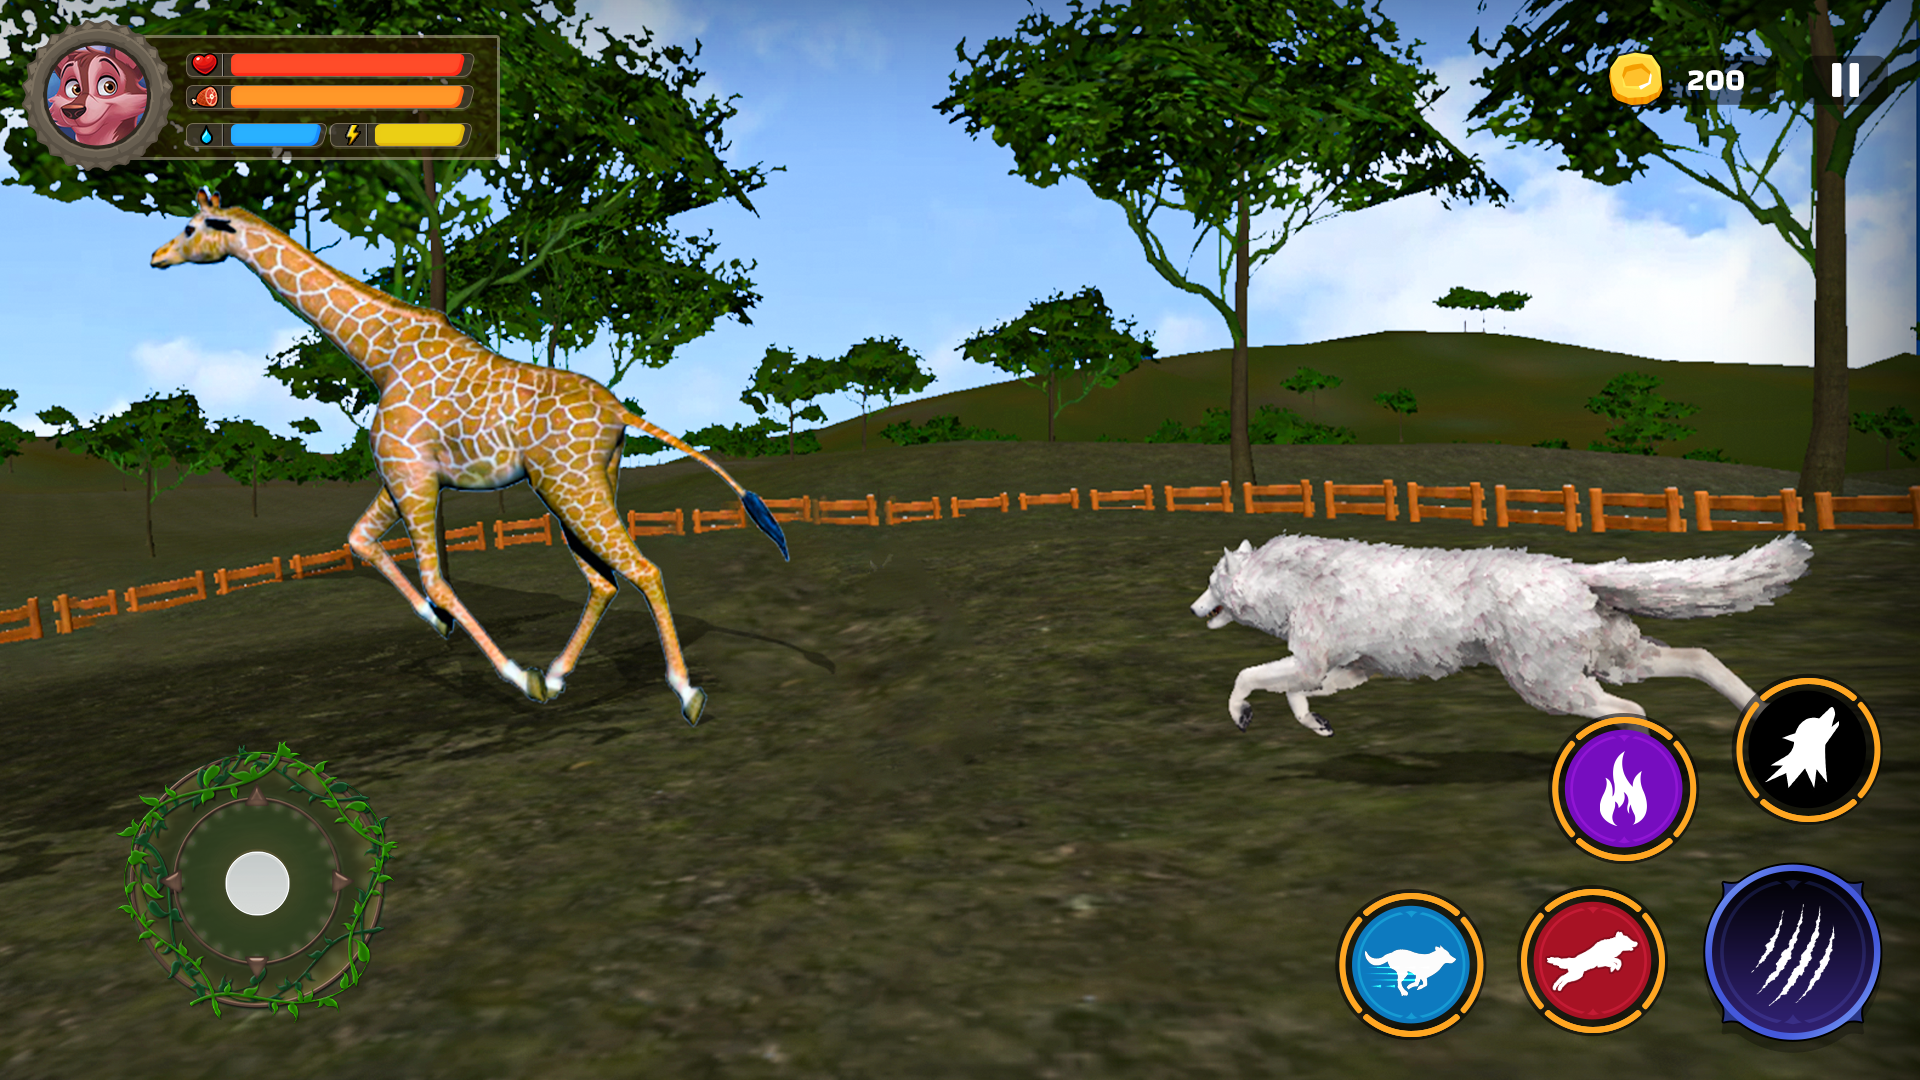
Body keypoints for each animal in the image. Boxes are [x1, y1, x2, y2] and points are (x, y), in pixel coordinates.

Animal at [1190, 533, 1812, 736]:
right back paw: (1752, 707)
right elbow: (1298, 691)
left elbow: (1248, 675)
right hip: (1609, 654)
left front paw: (1240, 712)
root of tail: (1573, 570)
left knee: (1630, 709)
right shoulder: (1347, 668)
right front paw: (1313, 722)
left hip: (1547, 681)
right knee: (1700, 655)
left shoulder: (1315, 657)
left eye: (1210, 582)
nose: (1193, 609)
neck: (1287, 581)